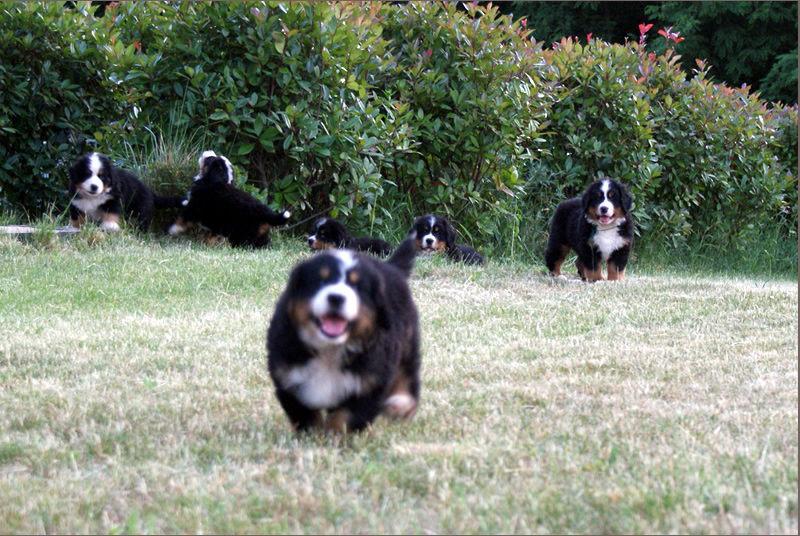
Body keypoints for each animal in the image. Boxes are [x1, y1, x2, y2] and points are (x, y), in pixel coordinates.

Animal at [268, 236, 422, 436]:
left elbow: (345, 418)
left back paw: (401, 403)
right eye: (321, 281)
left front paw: (333, 438)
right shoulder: (288, 377)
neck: (329, 350)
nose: (336, 298)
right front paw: (312, 437)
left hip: (407, 340)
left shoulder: (370, 383)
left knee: (408, 371)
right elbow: (306, 415)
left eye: (356, 286)